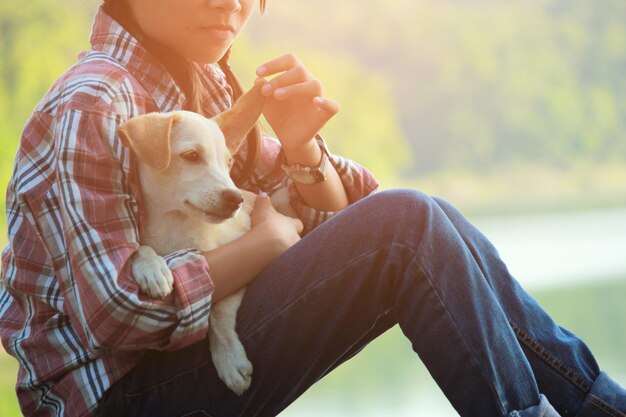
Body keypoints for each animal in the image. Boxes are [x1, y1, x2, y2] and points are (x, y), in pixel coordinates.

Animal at [118, 83, 270, 394]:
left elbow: (217, 310)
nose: (235, 198)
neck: (174, 225)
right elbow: (138, 246)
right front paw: (152, 268)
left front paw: (228, 357)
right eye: (191, 156)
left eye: (228, 163)